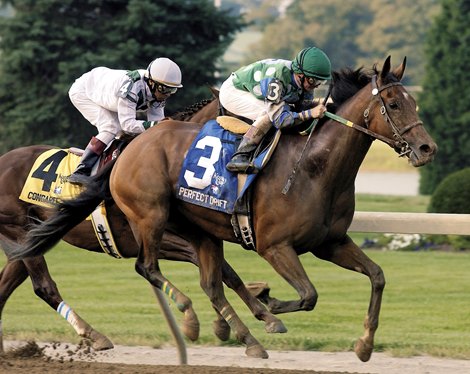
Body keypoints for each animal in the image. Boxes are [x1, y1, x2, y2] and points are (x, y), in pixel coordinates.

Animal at [0, 98, 284, 352]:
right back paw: (95, 335)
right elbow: (213, 268)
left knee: (7, 286)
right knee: (44, 287)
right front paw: (220, 321)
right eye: (242, 118)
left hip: (30, 240)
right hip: (19, 230)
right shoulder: (158, 235)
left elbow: (226, 272)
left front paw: (256, 316)